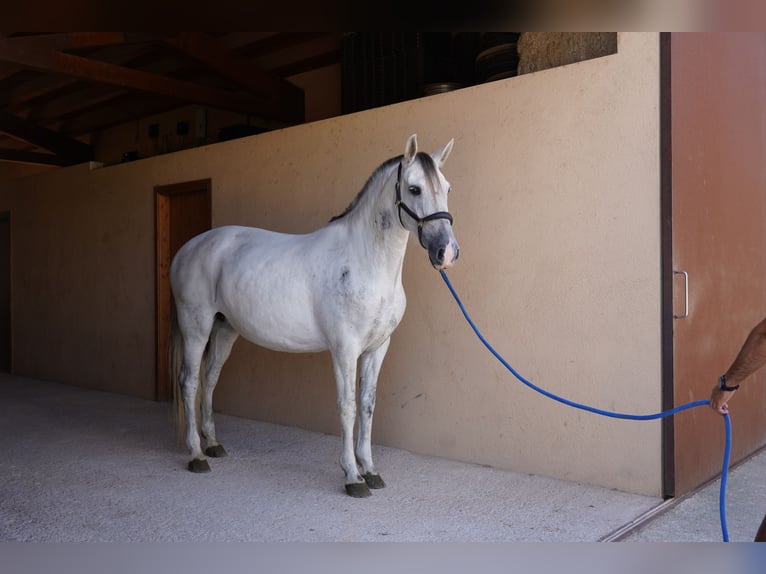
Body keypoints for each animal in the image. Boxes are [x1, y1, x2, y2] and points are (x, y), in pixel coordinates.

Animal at [171, 135, 460, 500]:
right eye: (414, 189)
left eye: (447, 188)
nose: (446, 252)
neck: (365, 262)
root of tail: (186, 249)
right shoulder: (344, 349)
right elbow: (347, 406)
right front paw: (352, 476)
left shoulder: (378, 348)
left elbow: (367, 404)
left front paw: (370, 470)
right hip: (196, 327)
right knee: (189, 381)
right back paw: (196, 454)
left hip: (224, 329)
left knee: (210, 379)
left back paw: (213, 444)